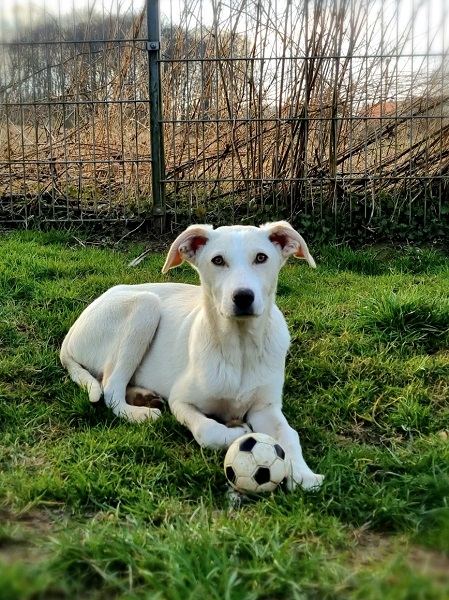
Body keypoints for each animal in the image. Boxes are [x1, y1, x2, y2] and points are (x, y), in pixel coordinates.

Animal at [61, 223, 324, 490]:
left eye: (261, 258)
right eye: (218, 260)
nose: (243, 297)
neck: (239, 348)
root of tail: (71, 333)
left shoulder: (265, 408)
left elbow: (287, 434)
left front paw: (303, 474)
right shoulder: (181, 401)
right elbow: (208, 432)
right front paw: (238, 431)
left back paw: (144, 396)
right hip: (145, 307)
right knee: (110, 389)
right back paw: (140, 413)